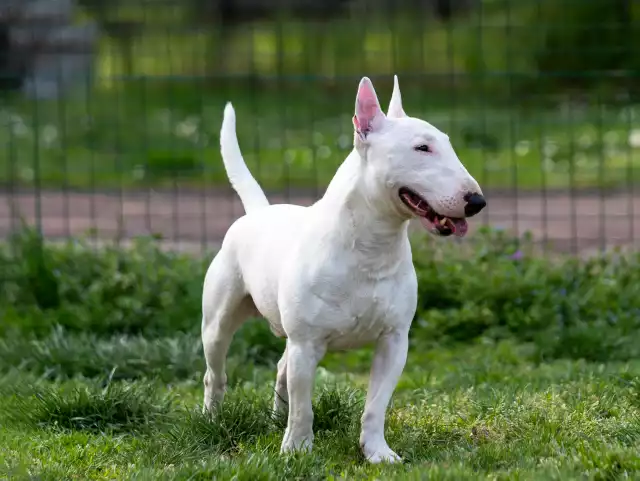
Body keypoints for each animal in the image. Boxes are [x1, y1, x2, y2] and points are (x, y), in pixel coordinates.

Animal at [201, 74, 484, 462]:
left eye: (447, 144)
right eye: (422, 148)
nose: (477, 201)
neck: (371, 247)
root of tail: (258, 211)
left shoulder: (394, 341)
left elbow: (376, 405)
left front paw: (378, 453)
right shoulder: (307, 343)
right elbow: (304, 407)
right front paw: (298, 451)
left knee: (280, 370)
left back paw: (275, 421)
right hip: (219, 320)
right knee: (216, 372)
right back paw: (212, 420)